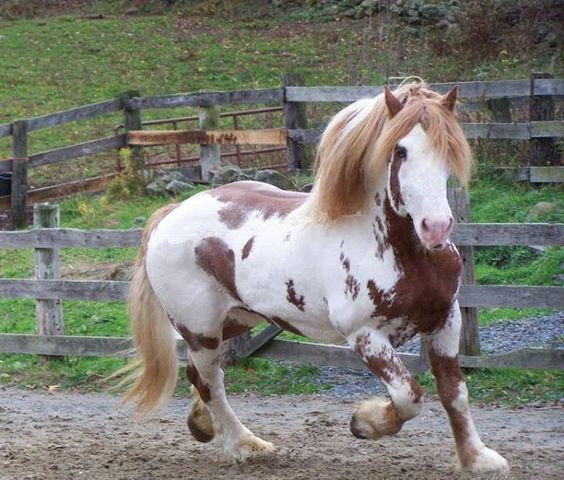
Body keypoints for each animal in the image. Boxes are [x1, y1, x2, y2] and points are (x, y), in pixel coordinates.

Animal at [120, 81, 512, 472]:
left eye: (451, 147)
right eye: (400, 150)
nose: (436, 227)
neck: (402, 254)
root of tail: (172, 212)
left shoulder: (444, 320)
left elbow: (454, 393)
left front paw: (478, 458)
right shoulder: (364, 335)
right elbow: (408, 396)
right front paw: (365, 423)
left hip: (235, 319)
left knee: (197, 375)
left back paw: (202, 425)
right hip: (200, 330)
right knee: (210, 382)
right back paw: (246, 445)